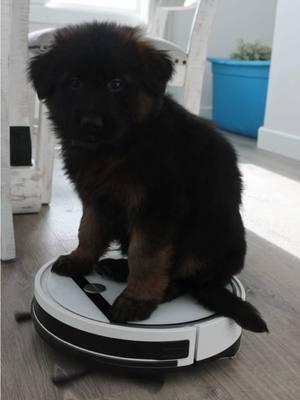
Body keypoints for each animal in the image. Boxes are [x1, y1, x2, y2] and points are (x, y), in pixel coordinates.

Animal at [28, 22, 268, 332]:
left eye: (116, 84)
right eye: (74, 83)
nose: (91, 124)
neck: (121, 145)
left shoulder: (158, 207)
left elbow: (147, 257)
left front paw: (137, 298)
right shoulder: (95, 197)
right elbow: (88, 229)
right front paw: (79, 259)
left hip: (208, 235)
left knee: (187, 280)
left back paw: (159, 288)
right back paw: (116, 267)